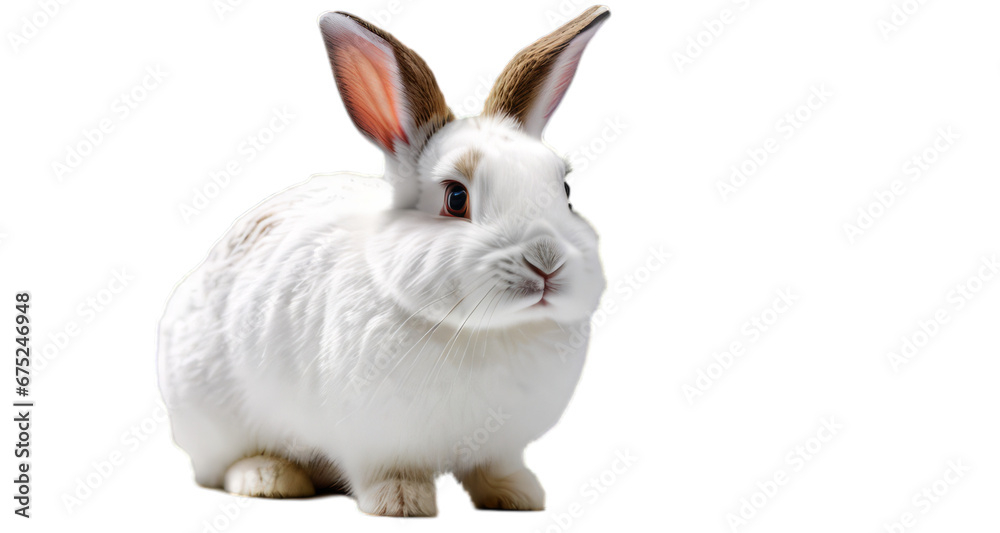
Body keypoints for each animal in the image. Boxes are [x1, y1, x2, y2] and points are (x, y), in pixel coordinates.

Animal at [157, 5, 610, 517]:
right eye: (456, 198)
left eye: (565, 190)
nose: (546, 261)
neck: (485, 331)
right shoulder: (372, 442)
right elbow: (388, 472)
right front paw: (401, 503)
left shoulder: (501, 445)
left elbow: (495, 468)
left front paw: (518, 496)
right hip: (211, 414)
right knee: (224, 465)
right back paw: (269, 478)